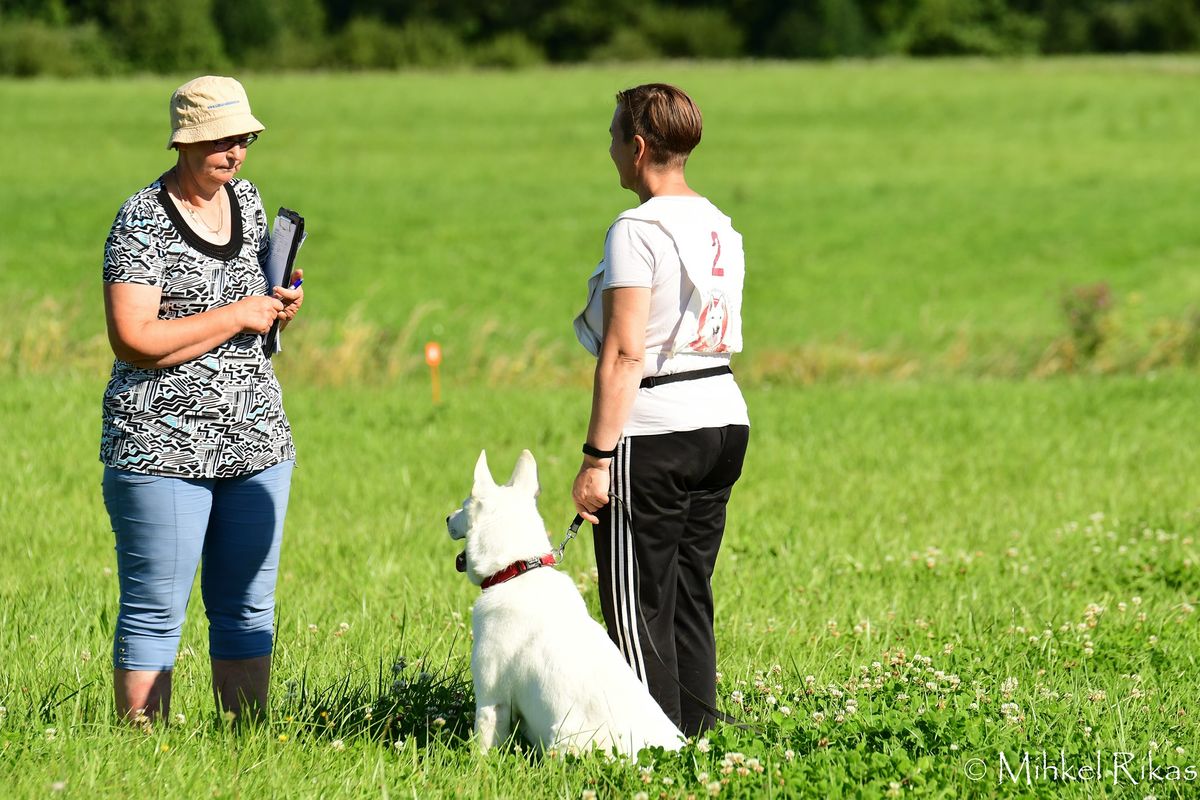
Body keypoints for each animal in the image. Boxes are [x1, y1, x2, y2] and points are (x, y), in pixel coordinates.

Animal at [448, 450, 686, 758]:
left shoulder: (492, 700)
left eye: (465, 505)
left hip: (562, 737)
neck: (518, 570)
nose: (446, 518)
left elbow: (483, 751)